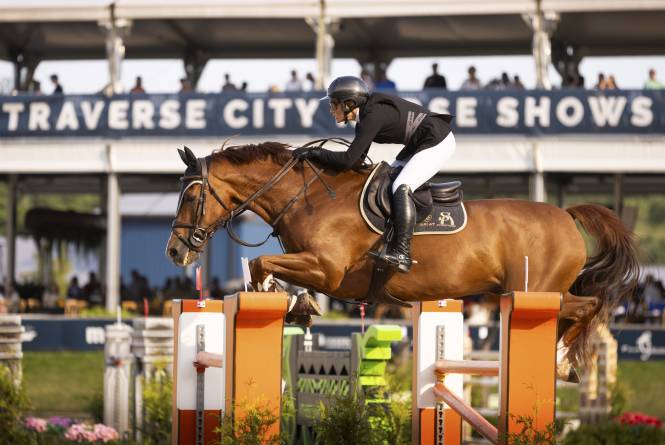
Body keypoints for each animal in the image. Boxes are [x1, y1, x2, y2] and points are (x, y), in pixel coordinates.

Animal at [165, 141, 639, 370]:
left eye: (190, 196)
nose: (174, 251)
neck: (309, 198)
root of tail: (566, 215)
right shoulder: (316, 267)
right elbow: (275, 271)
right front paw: (297, 306)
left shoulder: (327, 268)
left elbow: (263, 264)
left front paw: (276, 296)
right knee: (581, 308)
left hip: (536, 291)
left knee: (585, 307)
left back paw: (561, 361)